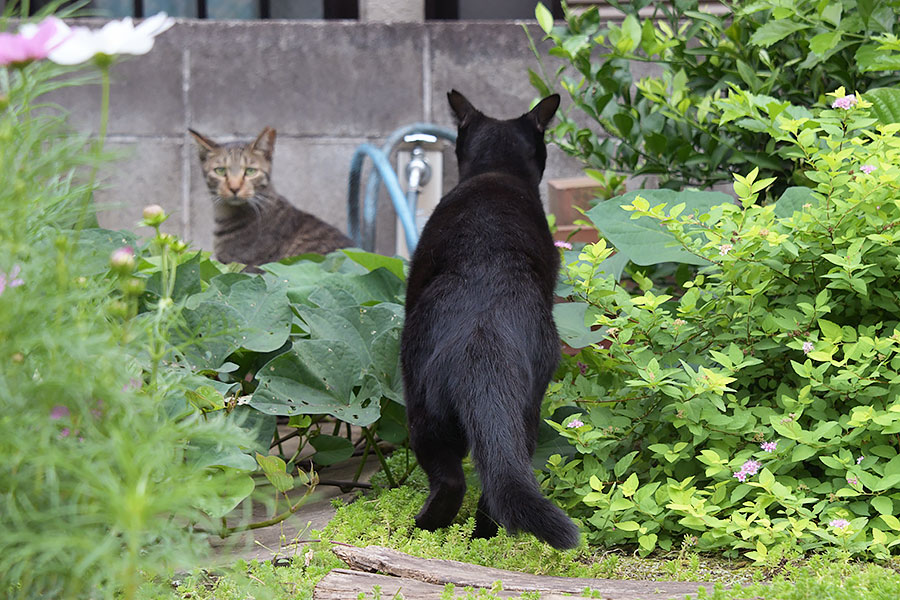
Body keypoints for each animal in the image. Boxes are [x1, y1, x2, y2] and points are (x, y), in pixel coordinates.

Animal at [400, 92, 580, 548]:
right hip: (523, 413)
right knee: (500, 478)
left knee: (454, 481)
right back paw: (483, 537)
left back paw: (425, 529)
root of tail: (484, 339)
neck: (497, 169)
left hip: (422, 407)